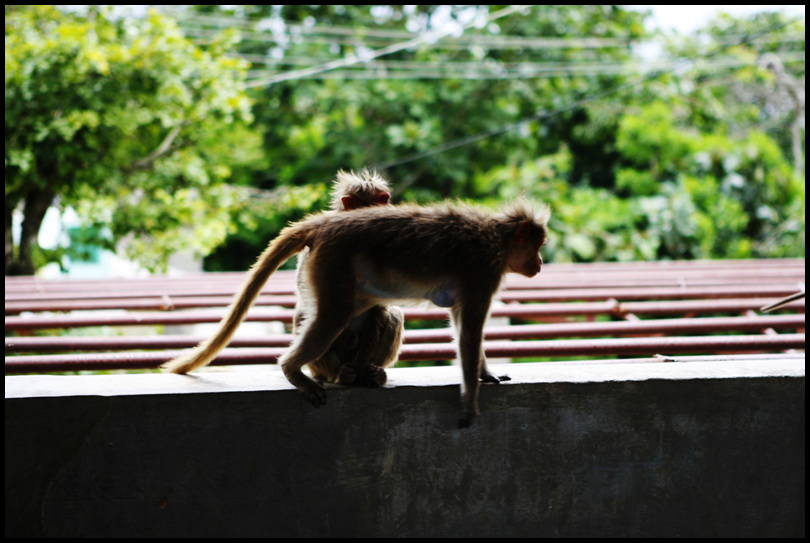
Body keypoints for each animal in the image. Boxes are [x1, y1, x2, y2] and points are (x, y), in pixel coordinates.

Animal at [163, 193, 548, 428]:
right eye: (538, 245)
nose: (541, 263)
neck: (496, 237)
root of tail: (325, 223)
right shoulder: (484, 271)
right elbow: (469, 332)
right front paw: (470, 403)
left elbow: (462, 326)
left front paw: (484, 374)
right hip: (332, 263)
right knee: (333, 316)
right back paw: (293, 370)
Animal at [292, 170, 402, 386]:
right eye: (381, 200)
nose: (390, 208)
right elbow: (305, 285)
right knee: (303, 315)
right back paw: (338, 374)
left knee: (394, 313)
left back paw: (375, 372)